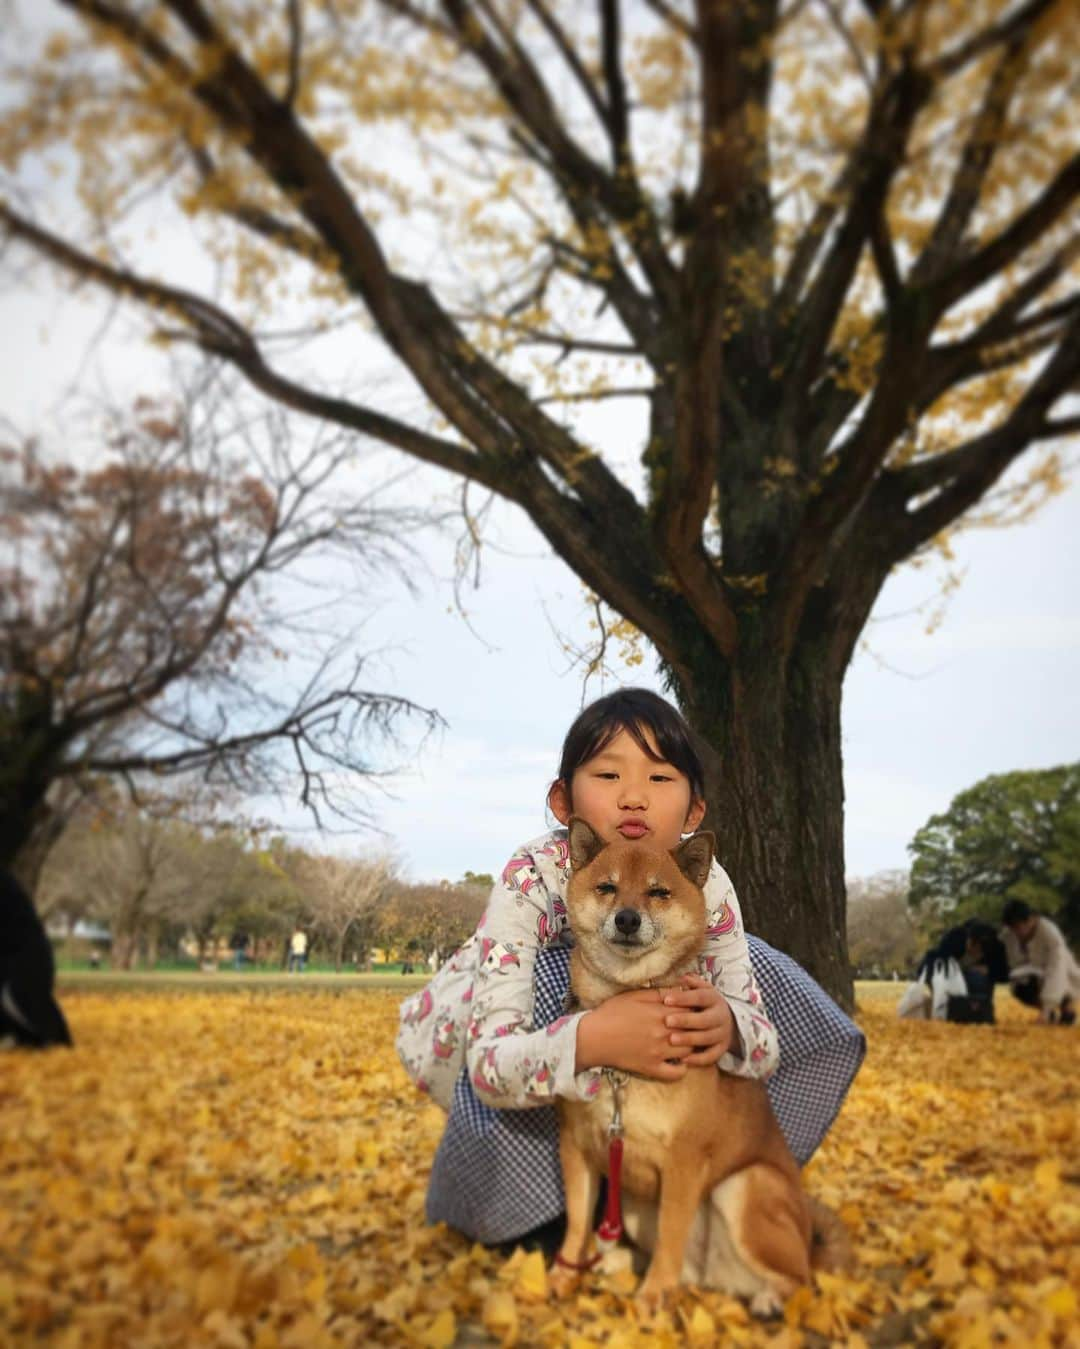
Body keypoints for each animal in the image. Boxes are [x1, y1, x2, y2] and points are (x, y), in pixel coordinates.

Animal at [552, 814, 846, 1311]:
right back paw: (618, 1263)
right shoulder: (578, 1147)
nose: (627, 918)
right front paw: (562, 1274)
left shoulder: (684, 1164)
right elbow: (576, 1224)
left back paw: (769, 1298)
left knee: (800, 1277)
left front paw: (652, 1295)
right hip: (636, 1205)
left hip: (743, 1186)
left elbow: (671, 1235)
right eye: (608, 887)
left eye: (658, 892)